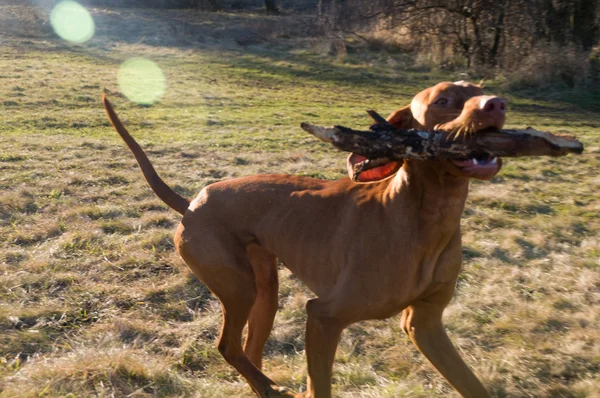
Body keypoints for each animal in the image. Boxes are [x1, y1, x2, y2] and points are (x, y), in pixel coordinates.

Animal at [102, 81, 506, 398]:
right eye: (443, 100)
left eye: (480, 88)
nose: (498, 104)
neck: (425, 217)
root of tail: (191, 204)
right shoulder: (324, 317)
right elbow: (319, 385)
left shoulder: (425, 323)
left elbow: (471, 384)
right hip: (239, 287)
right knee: (228, 347)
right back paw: (271, 388)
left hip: (264, 291)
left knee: (249, 350)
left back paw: (267, 388)